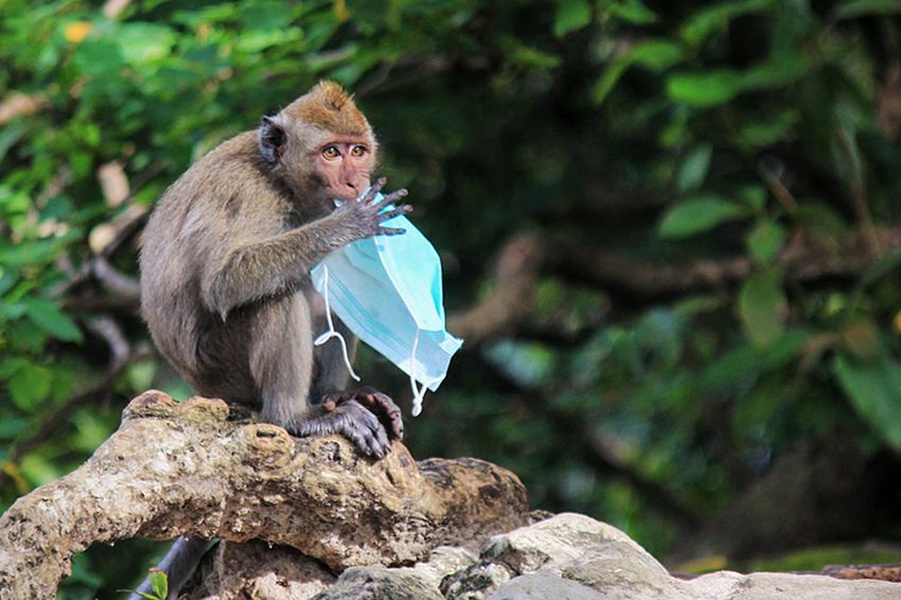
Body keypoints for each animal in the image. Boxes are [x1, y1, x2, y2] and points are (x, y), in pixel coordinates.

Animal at [132, 82, 414, 596]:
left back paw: (337, 398)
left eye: (357, 151)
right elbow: (227, 281)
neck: (279, 177)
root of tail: (203, 389)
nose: (353, 183)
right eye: (330, 153)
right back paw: (296, 418)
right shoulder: (248, 196)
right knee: (275, 294)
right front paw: (348, 225)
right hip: (222, 366)